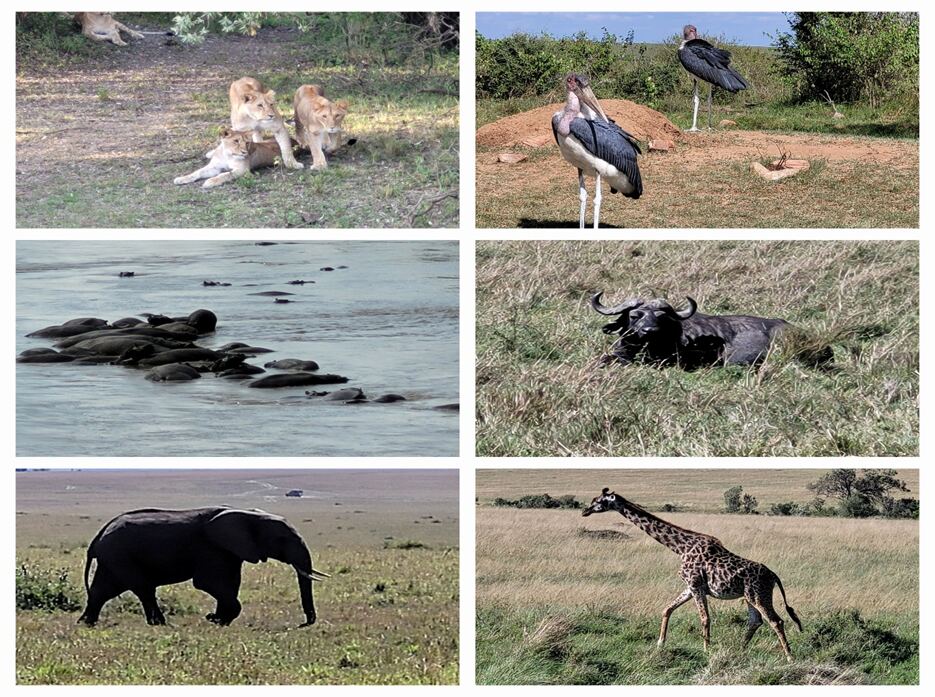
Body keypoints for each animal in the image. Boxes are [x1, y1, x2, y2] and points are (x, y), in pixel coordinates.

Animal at [78, 507, 328, 627]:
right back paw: (160, 624)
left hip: (114, 557)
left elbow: (231, 584)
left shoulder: (231, 550)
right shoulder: (212, 547)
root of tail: (99, 534)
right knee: (143, 588)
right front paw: (214, 619)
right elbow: (208, 583)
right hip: (120, 555)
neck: (249, 515)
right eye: (282, 539)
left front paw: (219, 620)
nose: (304, 623)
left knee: (103, 590)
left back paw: (85, 624)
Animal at [582, 487, 802, 661]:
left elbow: (704, 618)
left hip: (759, 595)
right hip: (750, 596)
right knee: (755, 621)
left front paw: (706, 650)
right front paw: (660, 643)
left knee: (775, 621)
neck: (680, 547)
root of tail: (773, 575)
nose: (584, 511)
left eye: (598, 501)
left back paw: (789, 656)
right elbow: (667, 609)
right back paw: (740, 650)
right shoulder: (690, 587)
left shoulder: (696, 586)